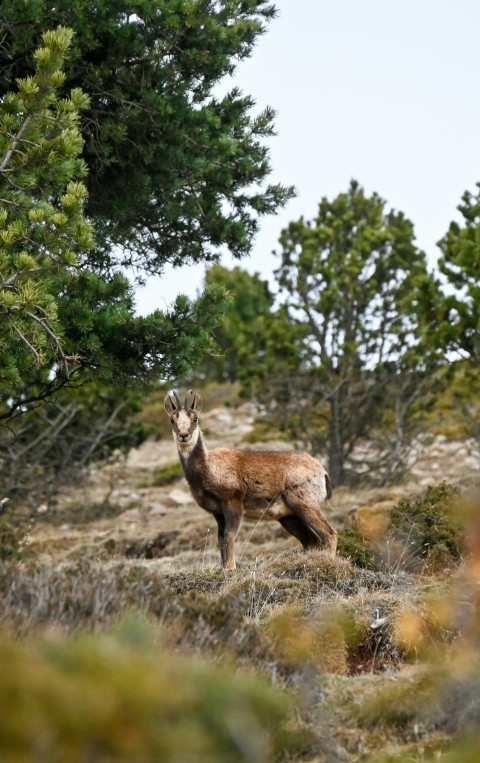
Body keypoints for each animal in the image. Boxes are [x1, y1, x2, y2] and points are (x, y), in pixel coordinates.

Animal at [164, 390, 337, 570]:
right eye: (172, 419)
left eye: (195, 418)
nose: (184, 435)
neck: (210, 467)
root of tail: (320, 469)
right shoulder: (218, 513)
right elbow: (220, 539)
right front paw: (224, 568)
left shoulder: (233, 505)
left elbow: (229, 537)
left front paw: (230, 568)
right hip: (288, 516)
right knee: (311, 540)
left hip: (305, 503)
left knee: (329, 533)